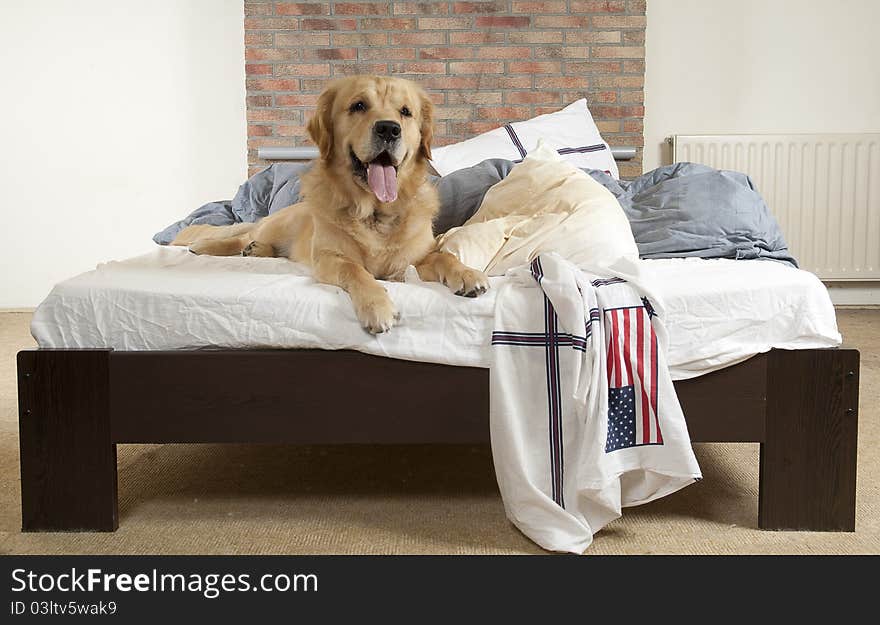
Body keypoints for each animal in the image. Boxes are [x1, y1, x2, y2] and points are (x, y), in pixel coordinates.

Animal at [172, 74, 488, 332]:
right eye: (359, 105)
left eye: (406, 112)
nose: (389, 129)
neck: (375, 214)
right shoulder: (329, 258)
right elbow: (356, 271)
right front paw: (378, 307)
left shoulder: (415, 258)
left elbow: (443, 256)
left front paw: (467, 274)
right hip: (278, 225)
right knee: (243, 235)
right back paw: (208, 245)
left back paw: (256, 250)